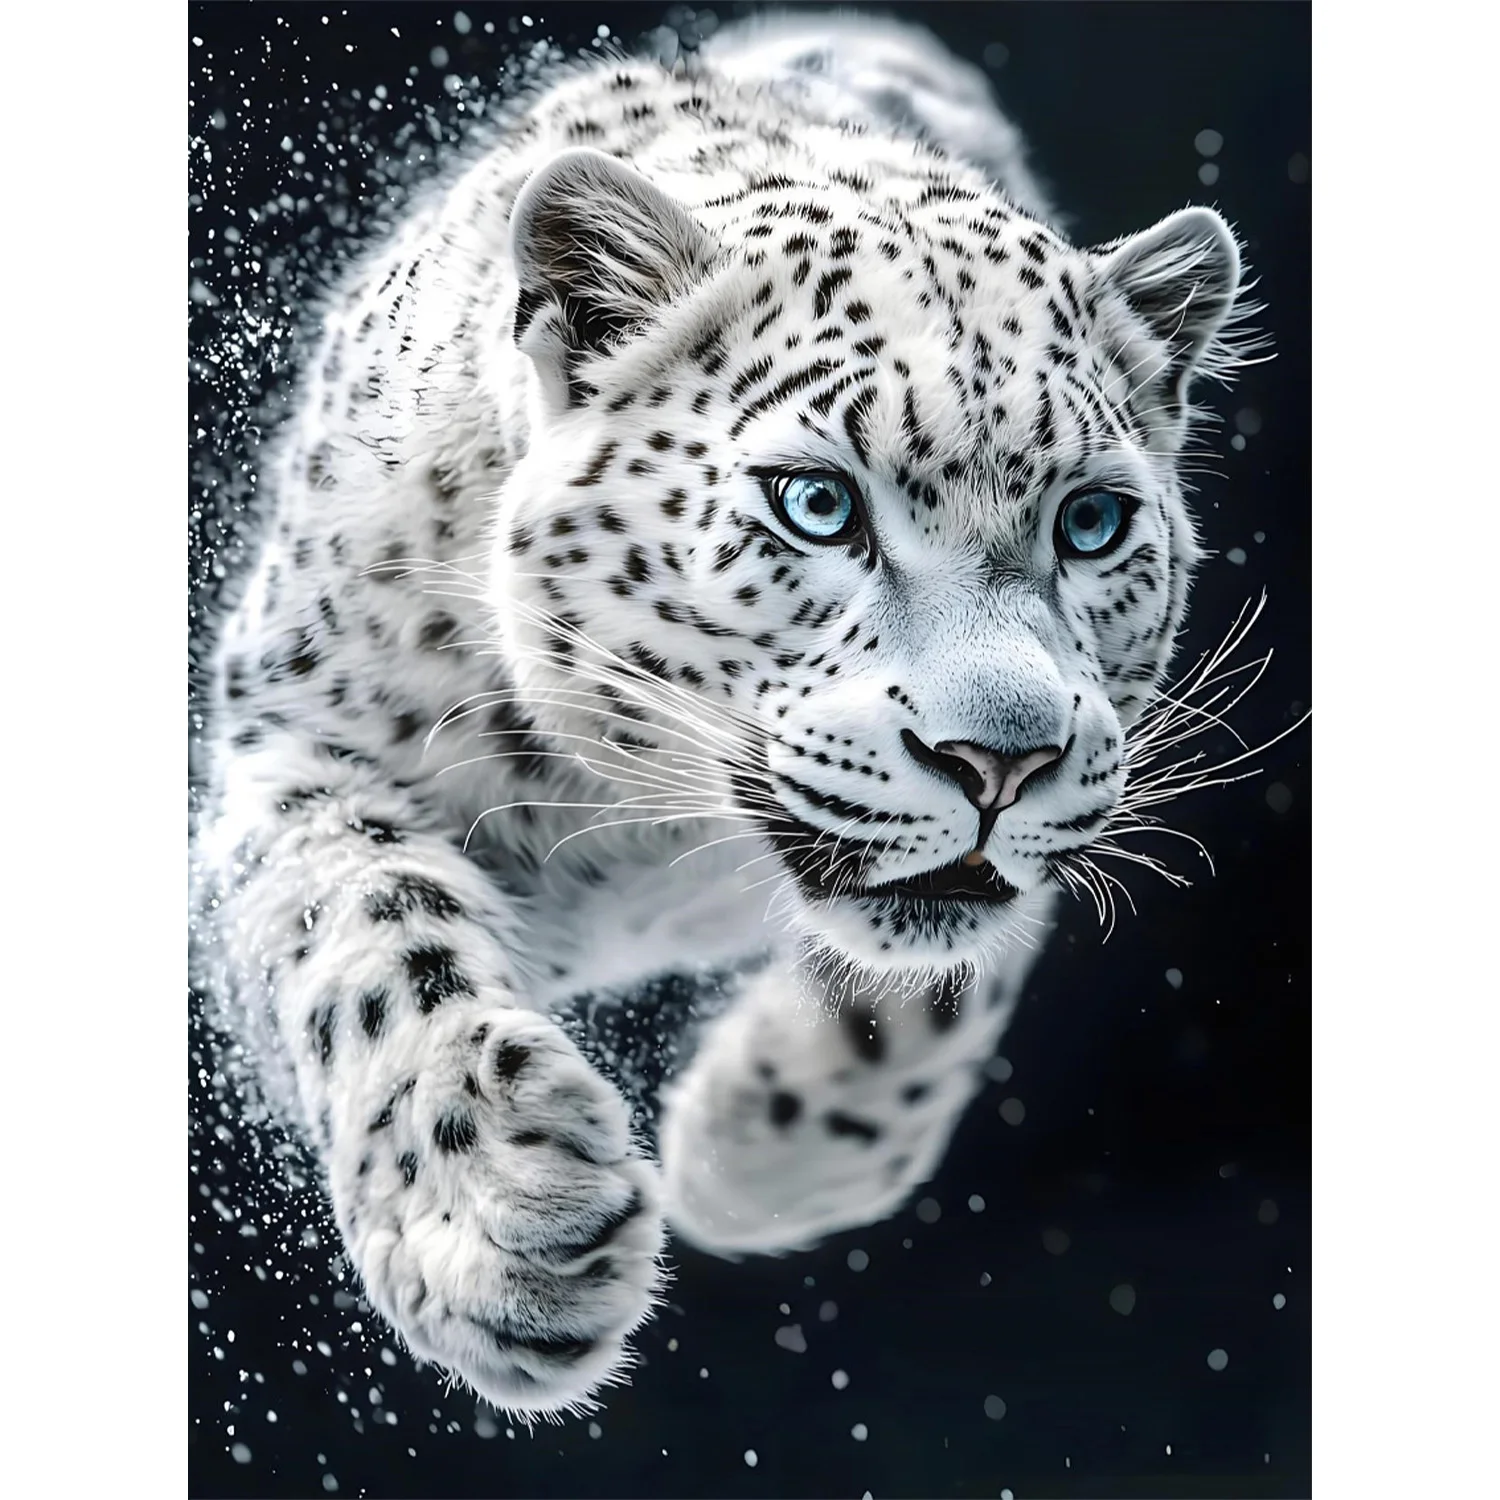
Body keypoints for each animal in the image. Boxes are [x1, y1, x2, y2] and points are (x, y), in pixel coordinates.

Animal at [192, 10, 1258, 1418]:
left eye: (1092, 521)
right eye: (818, 503)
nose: (1001, 763)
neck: (641, 836)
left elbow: (925, 992)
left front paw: (752, 1164)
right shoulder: (294, 748)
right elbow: (369, 934)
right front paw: (509, 1218)